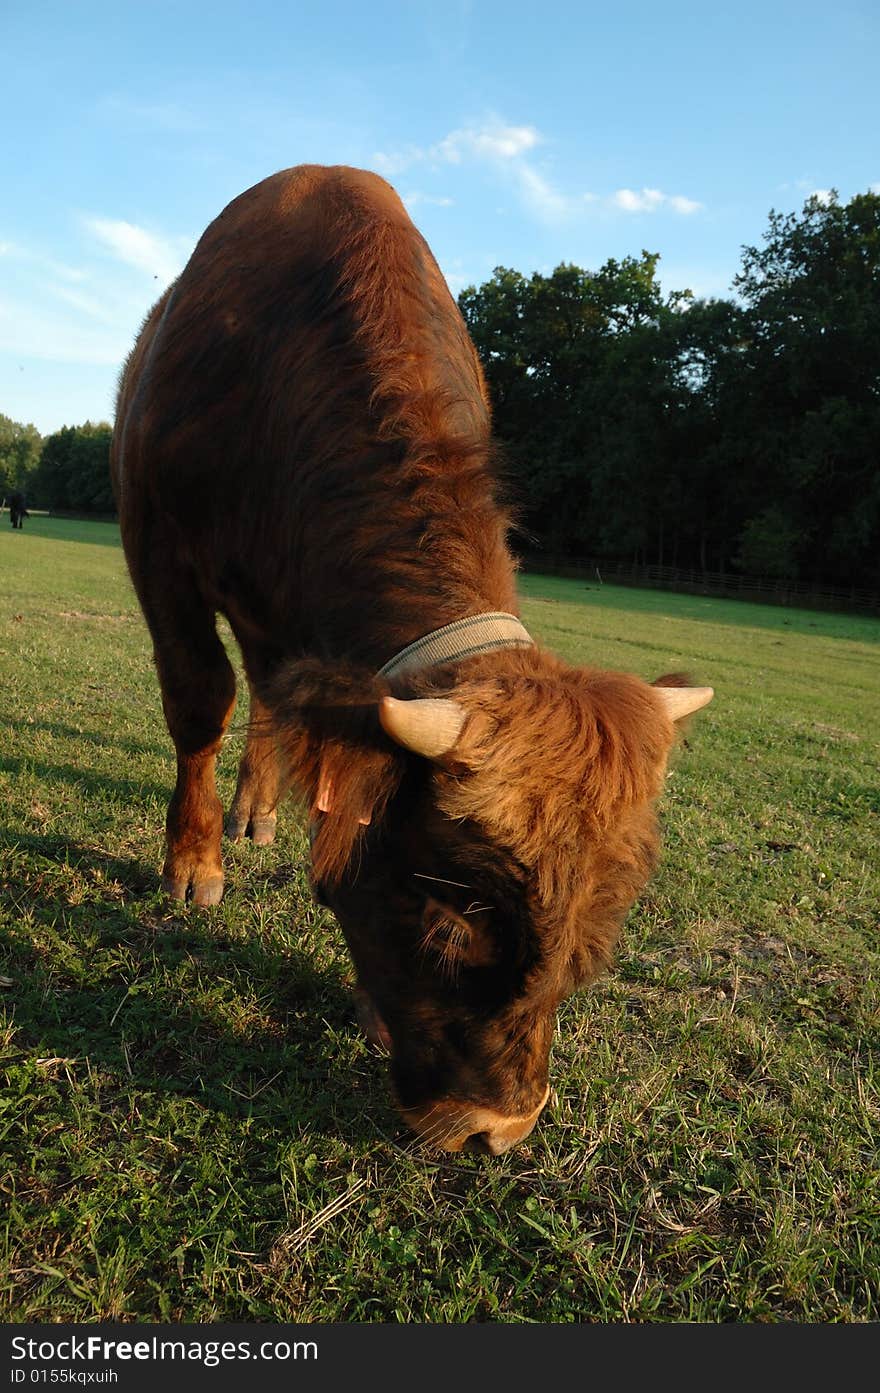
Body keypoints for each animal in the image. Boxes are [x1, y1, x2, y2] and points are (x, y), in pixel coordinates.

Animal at [111, 162, 712, 1153]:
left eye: (602, 922)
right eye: (452, 913)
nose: (495, 1130)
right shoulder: (157, 543)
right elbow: (201, 698)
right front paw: (193, 863)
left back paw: (260, 810)